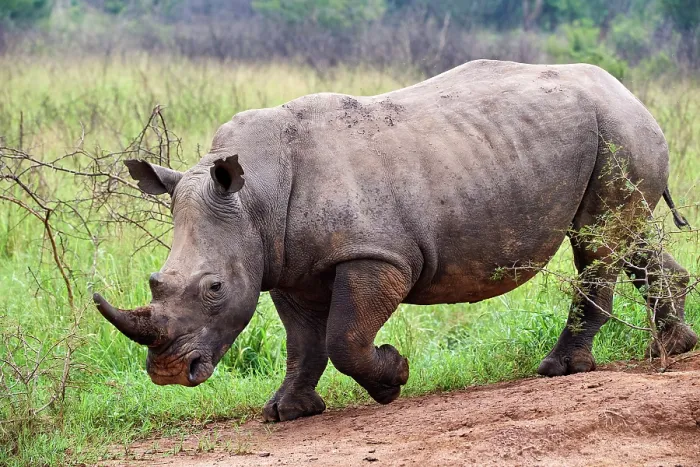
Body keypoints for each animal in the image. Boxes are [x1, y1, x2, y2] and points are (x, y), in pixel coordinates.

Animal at [94, 60, 697, 422]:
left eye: (214, 288)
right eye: (155, 282)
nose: (168, 374)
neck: (254, 199)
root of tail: (630, 93)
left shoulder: (378, 255)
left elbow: (344, 336)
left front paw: (393, 377)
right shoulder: (286, 264)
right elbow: (303, 342)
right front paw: (287, 411)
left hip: (618, 129)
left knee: (596, 240)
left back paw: (560, 370)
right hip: (615, 134)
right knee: (623, 235)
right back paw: (672, 348)